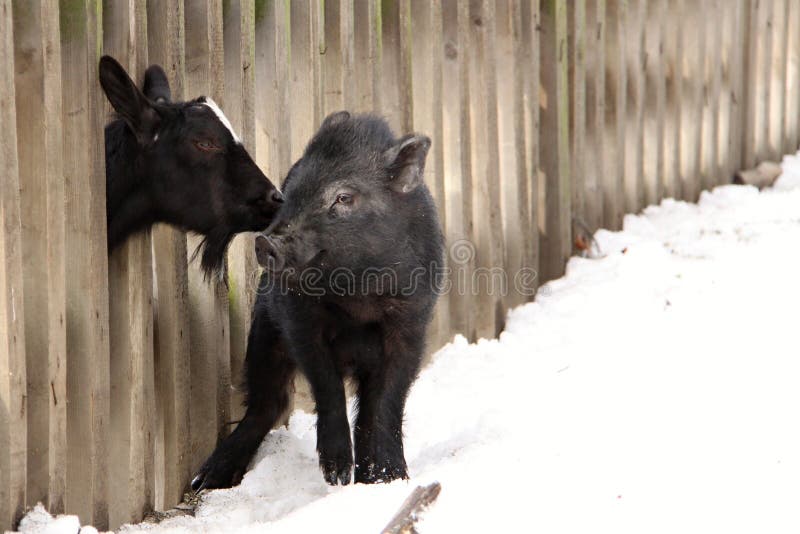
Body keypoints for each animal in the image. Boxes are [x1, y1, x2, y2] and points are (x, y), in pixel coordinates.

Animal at [194, 112, 444, 490]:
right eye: (290, 192)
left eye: (343, 197)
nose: (266, 242)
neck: (358, 292)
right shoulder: (298, 318)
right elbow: (326, 385)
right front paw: (337, 476)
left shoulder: (412, 321)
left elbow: (389, 399)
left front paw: (391, 478)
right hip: (263, 332)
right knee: (267, 402)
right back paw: (204, 480)